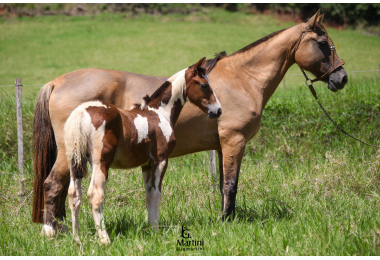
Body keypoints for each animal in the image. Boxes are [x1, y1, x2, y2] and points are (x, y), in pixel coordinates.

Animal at [63, 57, 221, 244]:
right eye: (204, 84)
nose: (218, 110)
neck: (159, 114)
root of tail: (82, 112)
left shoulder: (146, 165)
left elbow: (148, 195)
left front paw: (150, 228)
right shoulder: (161, 160)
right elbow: (156, 194)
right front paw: (156, 230)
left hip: (75, 162)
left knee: (74, 195)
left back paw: (77, 238)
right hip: (100, 163)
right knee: (95, 195)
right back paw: (104, 239)